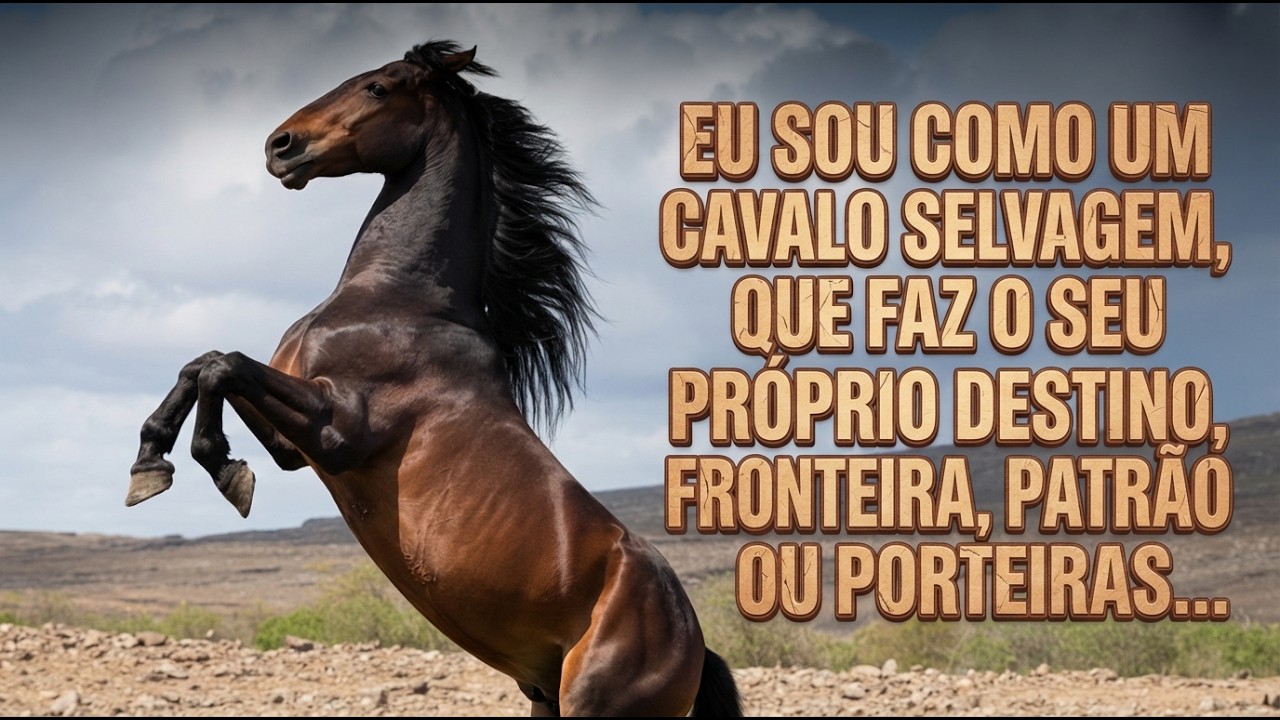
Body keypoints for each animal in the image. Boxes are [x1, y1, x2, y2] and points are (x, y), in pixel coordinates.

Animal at [124, 40, 742, 716]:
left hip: (595, 705)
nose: (280, 146)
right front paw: (151, 463)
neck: (402, 297)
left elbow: (223, 365)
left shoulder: (338, 432)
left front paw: (221, 470)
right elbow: (203, 365)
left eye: (378, 88)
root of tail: (694, 645)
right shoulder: (294, 444)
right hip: (545, 697)